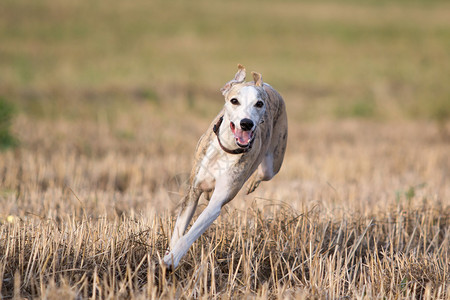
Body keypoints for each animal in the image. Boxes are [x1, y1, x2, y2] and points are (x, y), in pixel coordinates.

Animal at [163, 64, 286, 268]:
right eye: (234, 101)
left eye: (259, 104)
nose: (246, 123)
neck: (227, 148)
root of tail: (266, 84)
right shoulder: (193, 191)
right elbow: (179, 229)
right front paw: (169, 254)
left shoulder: (218, 201)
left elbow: (192, 232)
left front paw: (171, 259)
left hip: (272, 163)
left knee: (263, 172)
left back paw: (252, 183)